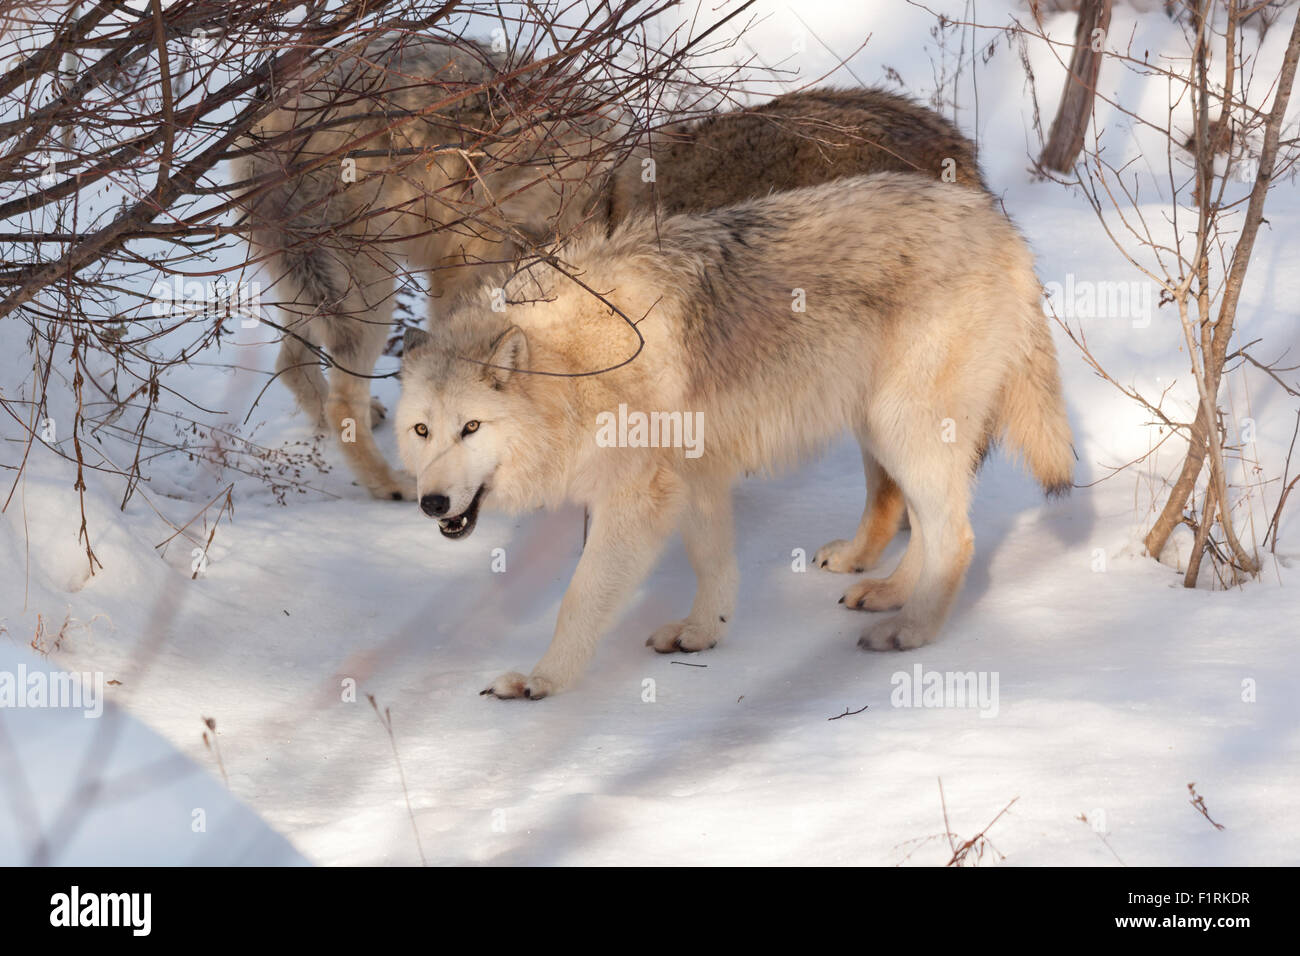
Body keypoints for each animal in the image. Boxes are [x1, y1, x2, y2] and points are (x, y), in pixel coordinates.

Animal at [397, 174, 1076, 697]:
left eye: (472, 427)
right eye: (423, 430)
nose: (431, 503)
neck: (575, 367)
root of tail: (998, 224)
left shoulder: (638, 498)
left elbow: (580, 598)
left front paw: (542, 682)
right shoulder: (695, 474)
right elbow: (714, 564)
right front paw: (704, 633)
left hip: (903, 425)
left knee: (956, 536)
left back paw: (909, 632)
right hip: (881, 426)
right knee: (920, 521)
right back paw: (884, 591)